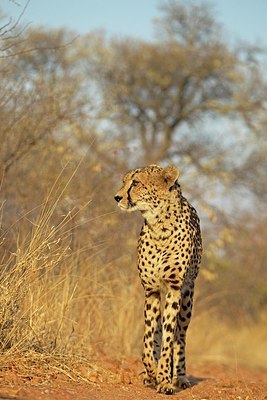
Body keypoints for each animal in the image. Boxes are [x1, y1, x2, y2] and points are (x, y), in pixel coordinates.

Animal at [114, 165, 202, 394]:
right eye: (125, 181)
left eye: (135, 183)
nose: (117, 197)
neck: (159, 227)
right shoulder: (151, 290)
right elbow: (149, 337)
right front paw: (151, 372)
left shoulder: (174, 289)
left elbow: (169, 339)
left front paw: (164, 379)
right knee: (158, 330)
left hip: (187, 298)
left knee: (180, 336)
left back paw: (179, 377)